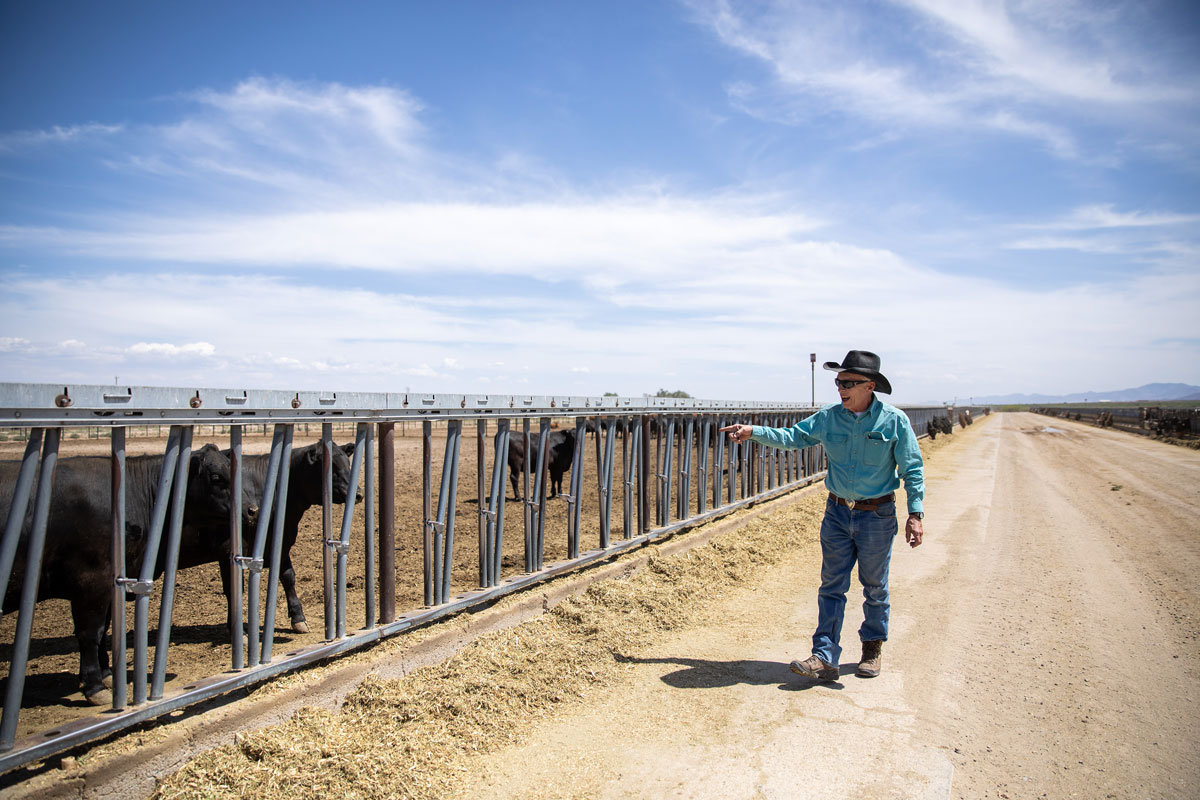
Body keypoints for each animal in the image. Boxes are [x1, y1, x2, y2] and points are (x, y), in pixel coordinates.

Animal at [1, 448, 250, 705]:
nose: (252, 509)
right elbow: (91, 633)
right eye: (216, 477)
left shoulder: (109, 583)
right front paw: (95, 686)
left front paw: (106, 675)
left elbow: (103, 628)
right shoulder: (91, 581)